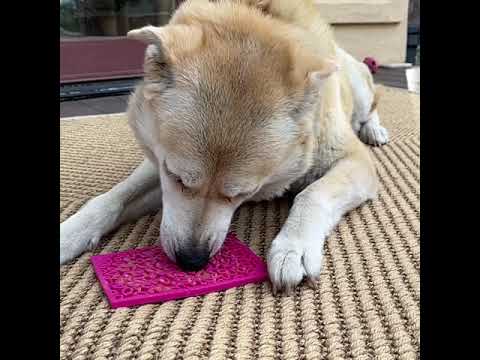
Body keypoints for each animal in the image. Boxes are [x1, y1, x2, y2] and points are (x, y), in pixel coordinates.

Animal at [60, 0, 388, 296]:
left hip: (358, 87)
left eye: (242, 194)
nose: (191, 261)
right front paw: (69, 232)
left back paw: (374, 129)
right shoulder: (157, 162)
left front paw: (293, 246)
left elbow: (312, 193)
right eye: (176, 177)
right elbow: (111, 198)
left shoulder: (356, 162)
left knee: (371, 105)